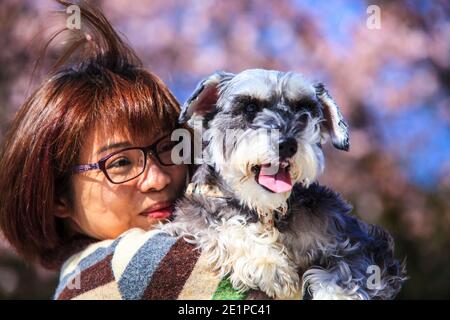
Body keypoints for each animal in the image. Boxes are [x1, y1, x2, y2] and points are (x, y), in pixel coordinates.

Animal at [163, 69, 408, 298]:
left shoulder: (364, 245)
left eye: (304, 110)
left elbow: (345, 278)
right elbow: (225, 225)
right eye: (250, 107)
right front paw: (270, 265)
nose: (287, 144)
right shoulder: (191, 215)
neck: (269, 210)